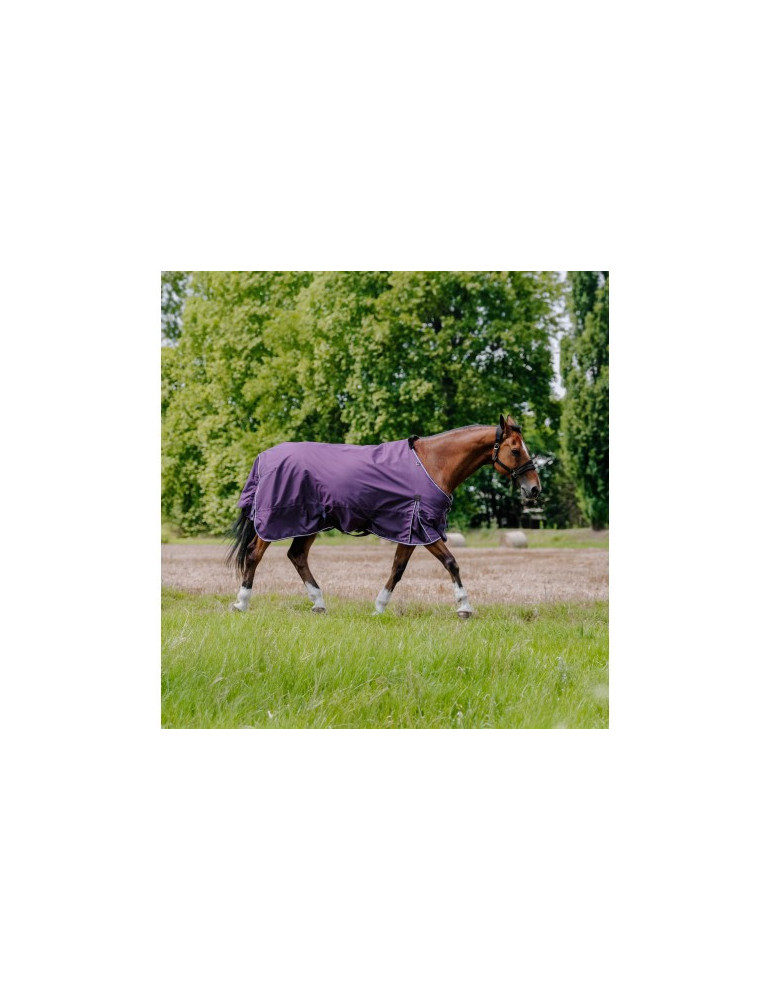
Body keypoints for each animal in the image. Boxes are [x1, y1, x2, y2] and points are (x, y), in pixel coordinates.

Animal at [226, 414, 541, 618]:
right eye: (515, 450)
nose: (534, 488)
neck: (433, 463)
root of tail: (264, 458)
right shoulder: (423, 528)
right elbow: (451, 563)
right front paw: (464, 607)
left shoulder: (409, 530)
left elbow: (397, 569)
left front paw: (379, 607)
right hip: (275, 522)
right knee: (254, 554)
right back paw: (241, 603)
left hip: (309, 524)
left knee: (297, 556)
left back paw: (318, 603)